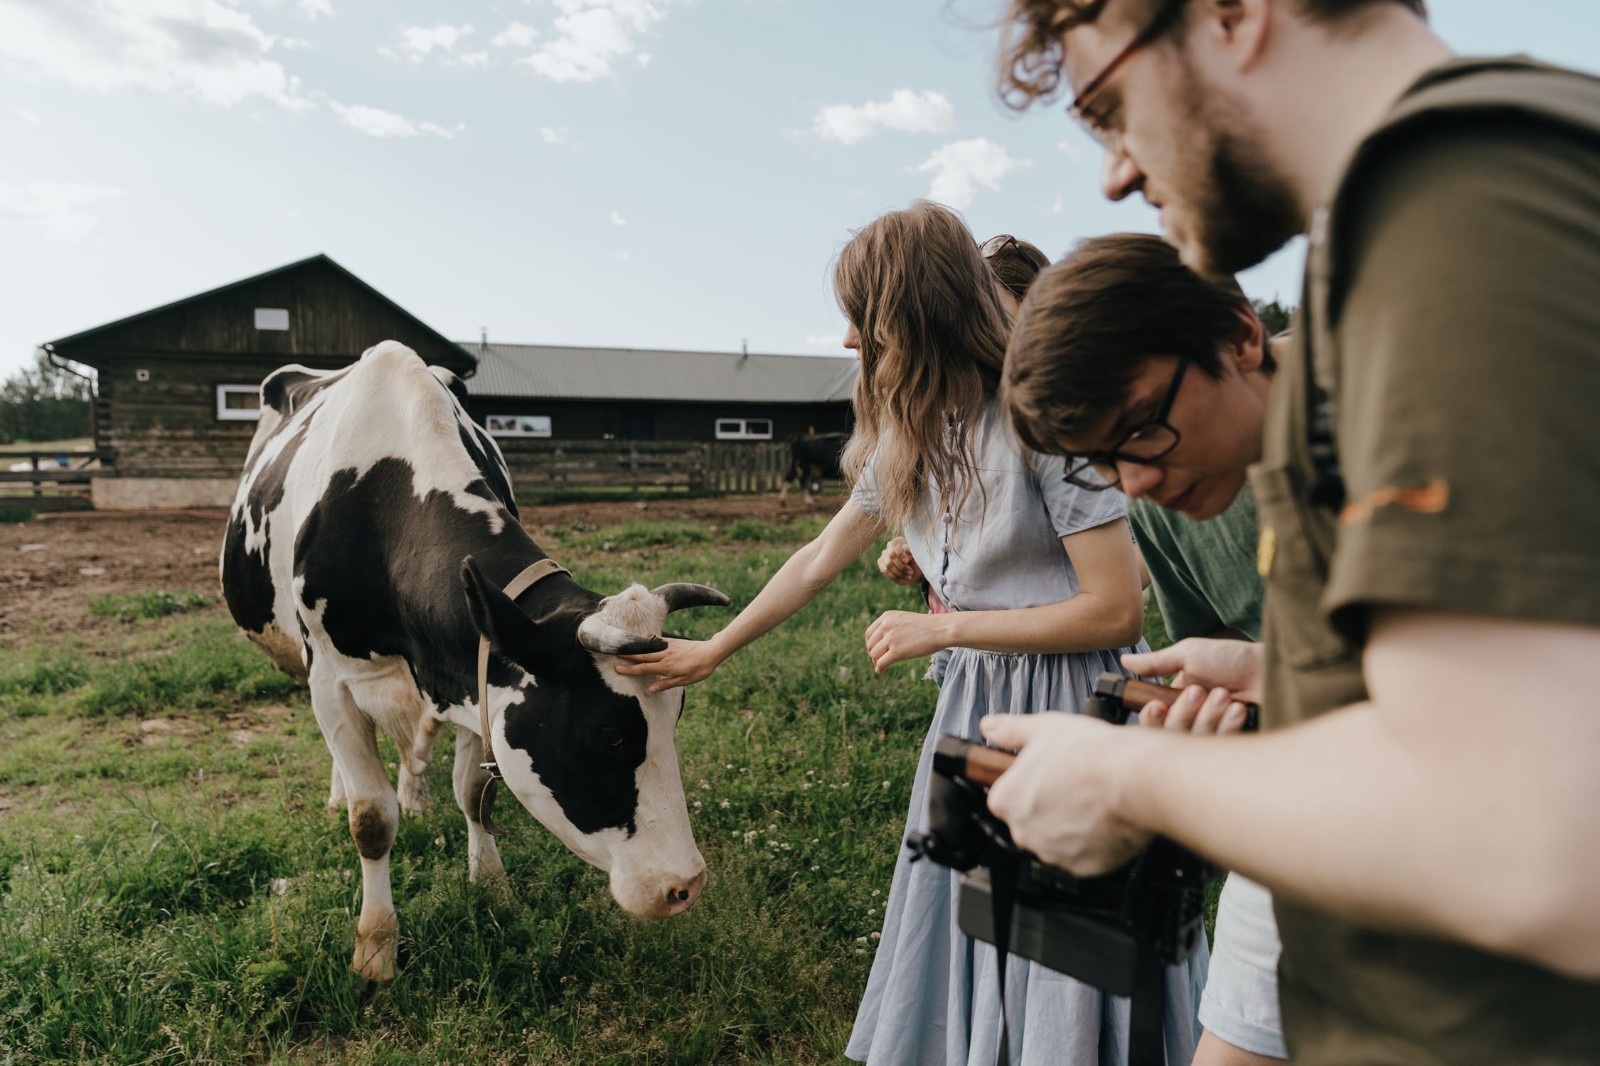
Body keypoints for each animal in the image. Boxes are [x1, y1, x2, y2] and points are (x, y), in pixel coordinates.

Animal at [220, 340, 732, 979]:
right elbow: (371, 820)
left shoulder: (474, 673)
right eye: (610, 735)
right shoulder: (333, 678)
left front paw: (491, 886)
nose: (686, 886)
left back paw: (415, 792)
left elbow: (472, 792)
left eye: (675, 718)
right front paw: (375, 948)